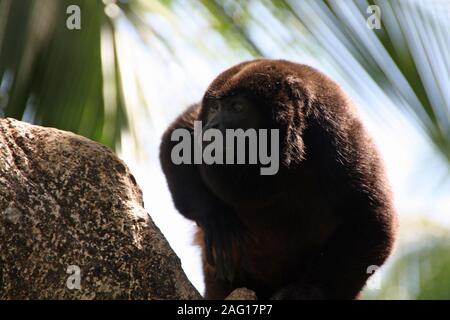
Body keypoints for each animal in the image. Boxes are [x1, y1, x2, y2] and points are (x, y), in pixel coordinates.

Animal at [159, 59, 398, 300]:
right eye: (215, 107)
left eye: (237, 107)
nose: (210, 127)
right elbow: (177, 134)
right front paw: (215, 217)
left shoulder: (341, 138)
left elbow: (372, 216)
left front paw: (307, 291)